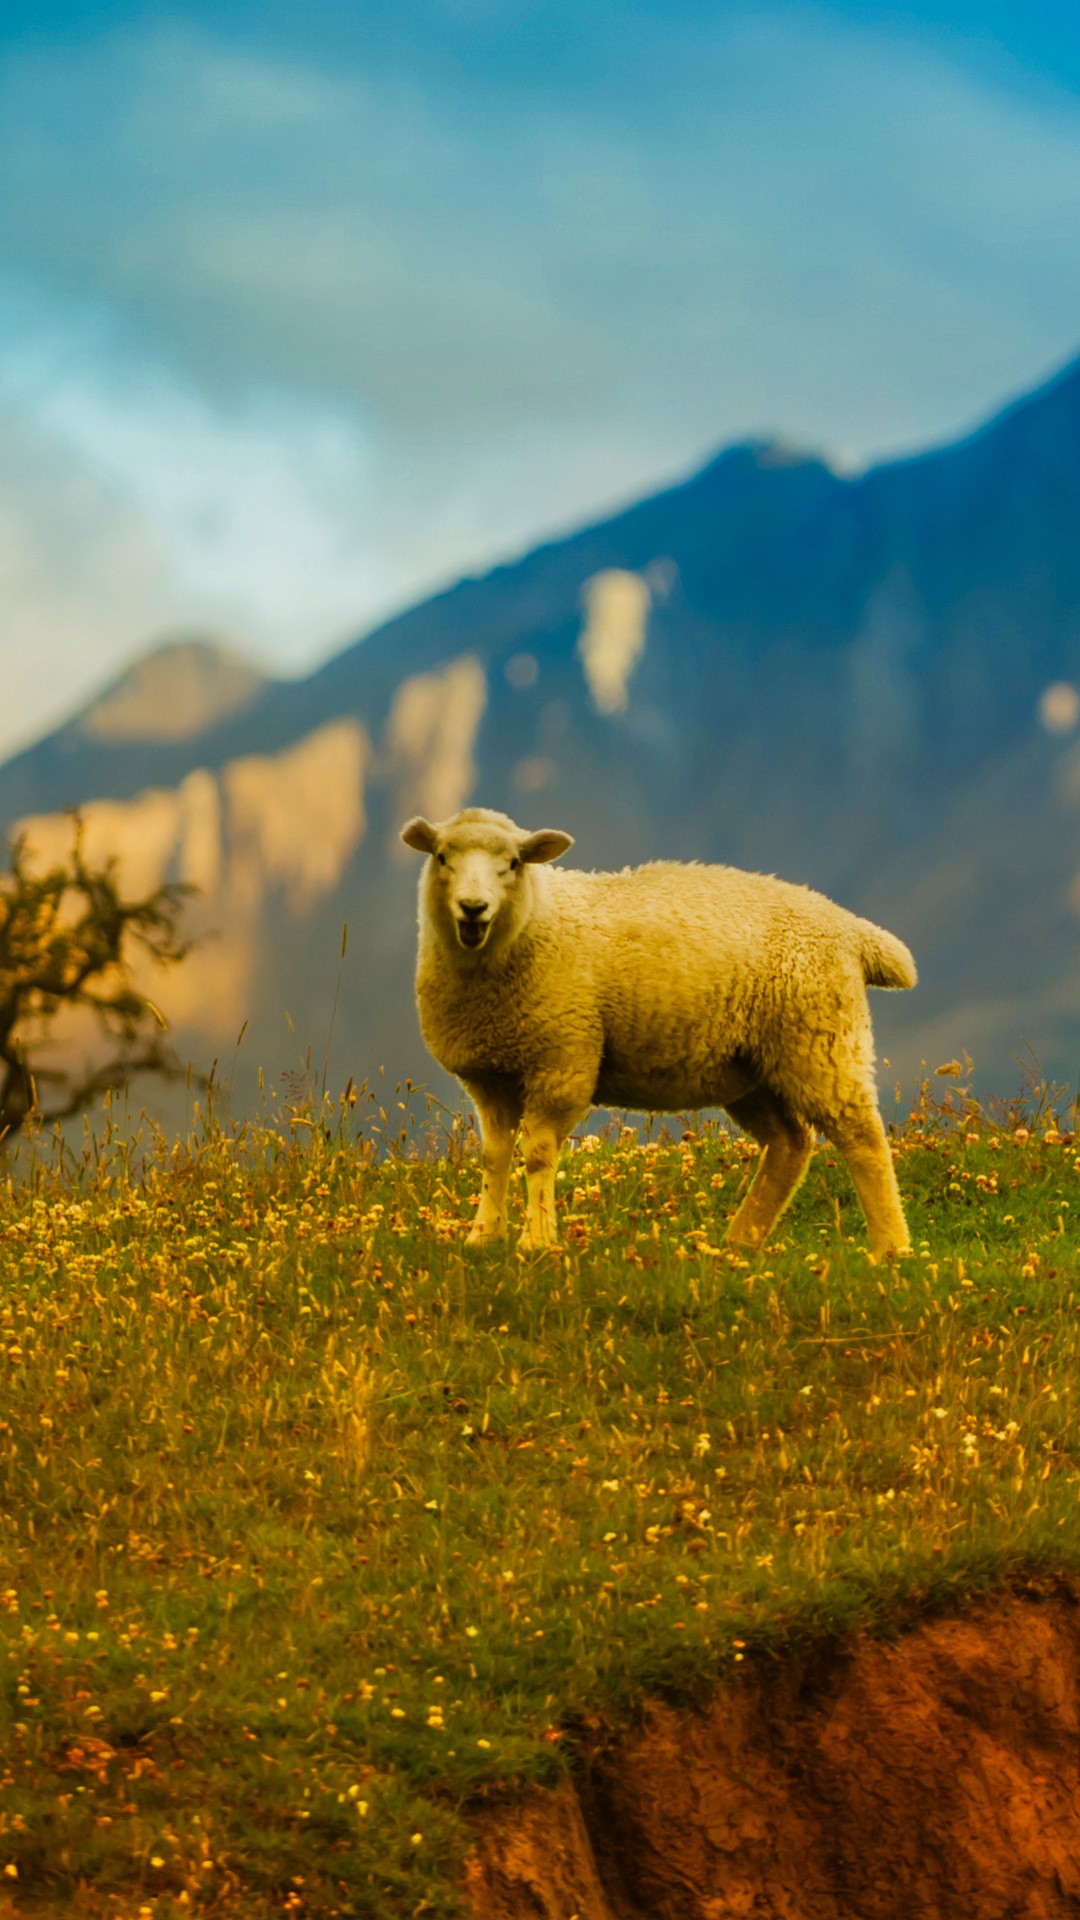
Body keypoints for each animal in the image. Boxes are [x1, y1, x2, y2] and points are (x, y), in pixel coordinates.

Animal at [401, 807, 917, 1259]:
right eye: (442, 857)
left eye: (512, 863)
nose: (473, 909)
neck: (535, 921)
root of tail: (853, 930)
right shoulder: (490, 1075)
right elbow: (494, 1156)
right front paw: (483, 1237)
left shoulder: (562, 1061)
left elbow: (540, 1154)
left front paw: (537, 1240)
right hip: (751, 1067)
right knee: (790, 1144)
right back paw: (741, 1241)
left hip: (819, 1041)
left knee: (862, 1139)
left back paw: (891, 1248)